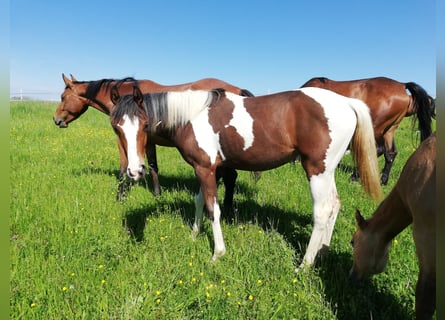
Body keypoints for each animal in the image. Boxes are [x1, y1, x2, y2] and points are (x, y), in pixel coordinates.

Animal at [52, 74, 253, 204]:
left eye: (62, 97)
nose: (56, 120)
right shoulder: (148, 142)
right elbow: (153, 167)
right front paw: (157, 194)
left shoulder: (123, 141)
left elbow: (123, 169)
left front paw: (120, 197)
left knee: (230, 177)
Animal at [110, 84, 382, 268]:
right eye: (116, 127)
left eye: (145, 124)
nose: (135, 171)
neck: (191, 116)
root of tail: (347, 103)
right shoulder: (209, 168)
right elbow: (199, 202)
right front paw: (194, 235)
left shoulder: (206, 169)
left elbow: (213, 209)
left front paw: (217, 253)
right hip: (328, 170)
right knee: (335, 204)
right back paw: (322, 253)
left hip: (317, 170)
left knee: (322, 211)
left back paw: (304, 265)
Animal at [298, 76, 434, 184]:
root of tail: (401, 85)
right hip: (389, 130)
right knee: (390, 153)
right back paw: (383, 180)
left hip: (375, 128)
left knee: (376, 150)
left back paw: (355, 176)